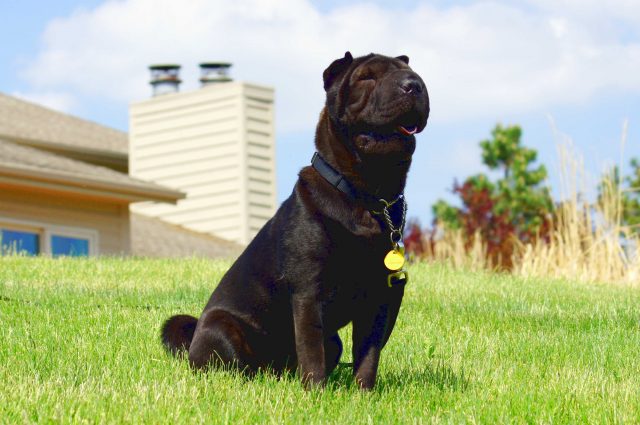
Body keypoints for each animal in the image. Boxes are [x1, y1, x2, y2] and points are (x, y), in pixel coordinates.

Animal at [162, 51, 428, 390]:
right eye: (366, 77)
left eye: (414, 74)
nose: (413, 85)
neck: (367, 196)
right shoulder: (308, 294)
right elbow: (312, 351)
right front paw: (316, 392)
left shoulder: (378, 298)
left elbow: (368, 355)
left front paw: (363, 393)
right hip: (221, 326)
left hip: (333, 341)